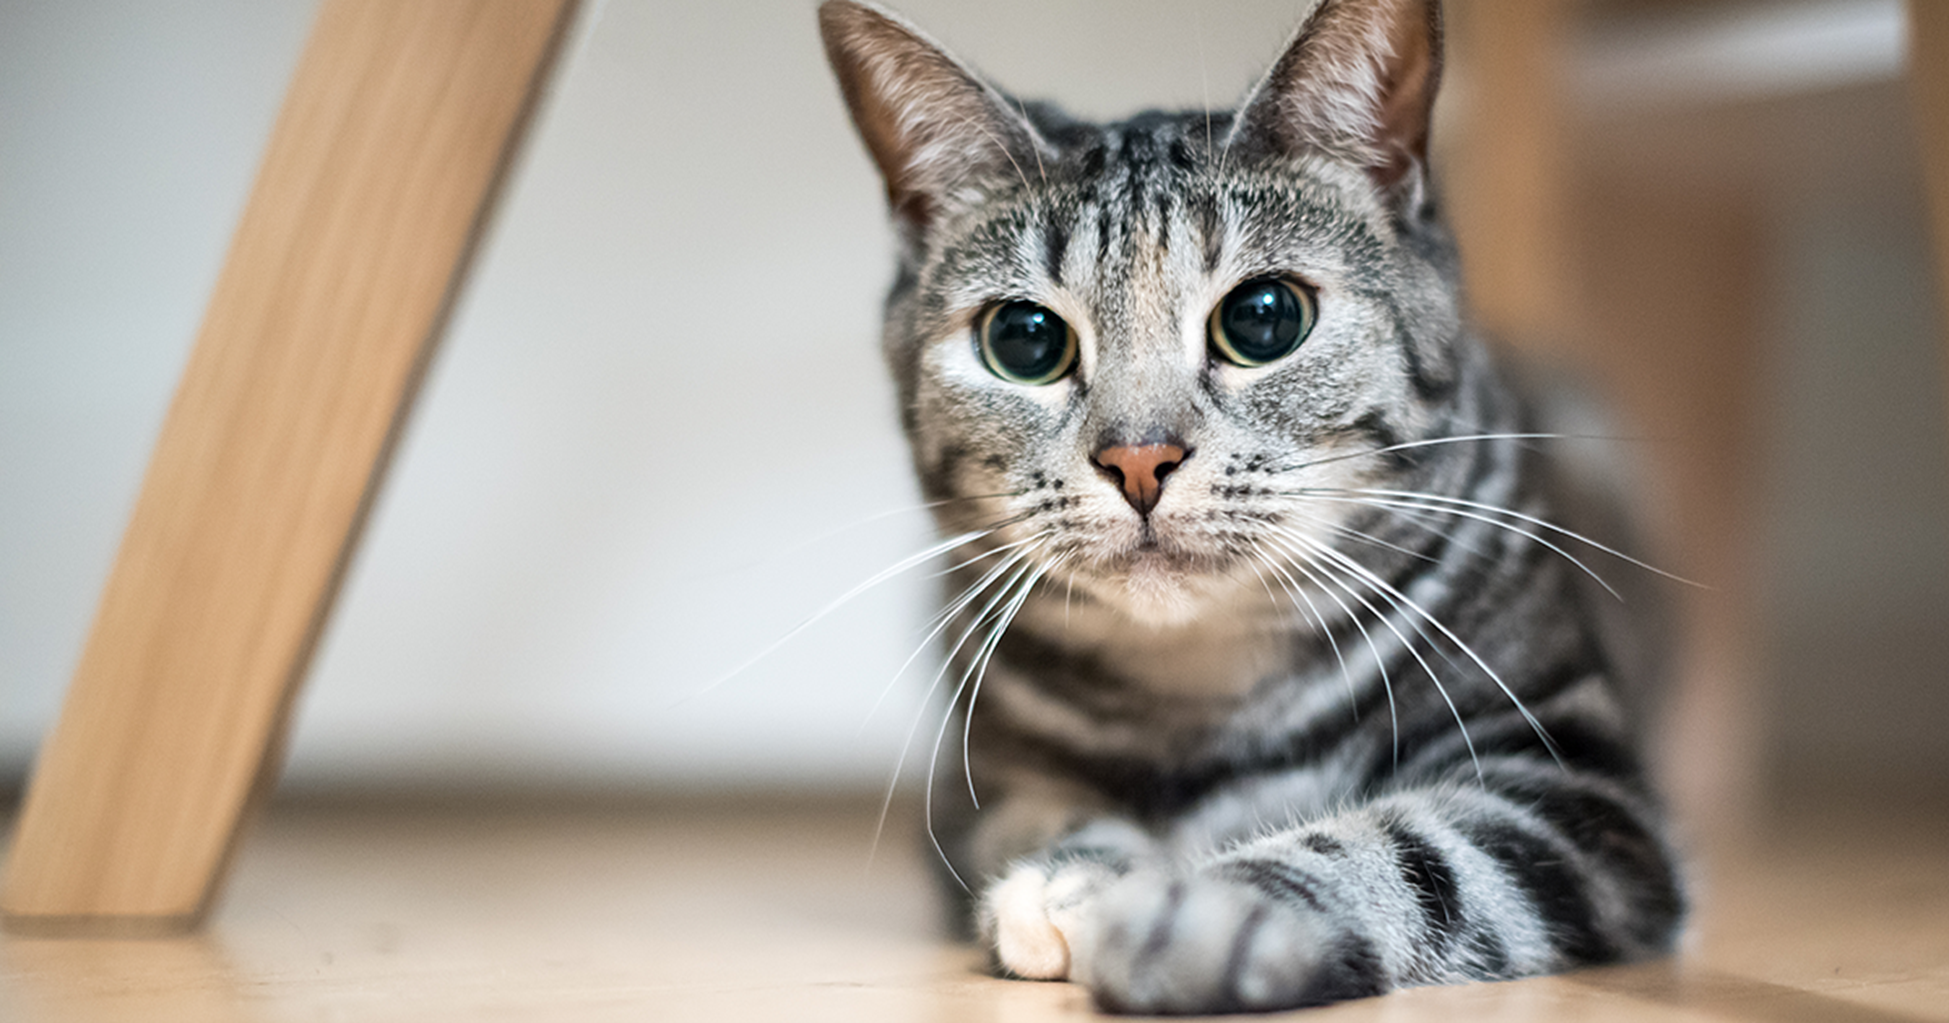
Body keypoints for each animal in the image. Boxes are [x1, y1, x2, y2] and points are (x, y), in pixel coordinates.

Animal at [814, 0, 1683, 1005]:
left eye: (1263, 318)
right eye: (1024, 339)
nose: (1138, 457)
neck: (1201, 706)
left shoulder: (1579, 785)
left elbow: (1415, 849)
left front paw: (1204, 913)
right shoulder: (978, 791)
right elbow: (1038, 815)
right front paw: (1080, 875)